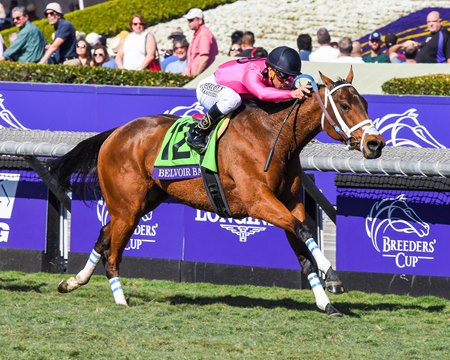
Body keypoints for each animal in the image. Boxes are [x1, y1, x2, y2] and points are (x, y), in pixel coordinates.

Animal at [51, 69, 384, 316]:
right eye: (344, 106)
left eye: (366, 104)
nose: (375, 144)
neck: (273, 136)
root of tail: (116, 132)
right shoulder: (258, 200)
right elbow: (302, 231)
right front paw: (333, 275)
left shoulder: (289, 203)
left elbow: (303, 247)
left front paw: (326, 303)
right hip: (127, 206)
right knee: (113, 251)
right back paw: (119, 298)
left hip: (141, 203)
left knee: (104, 234)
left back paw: (73, 281)